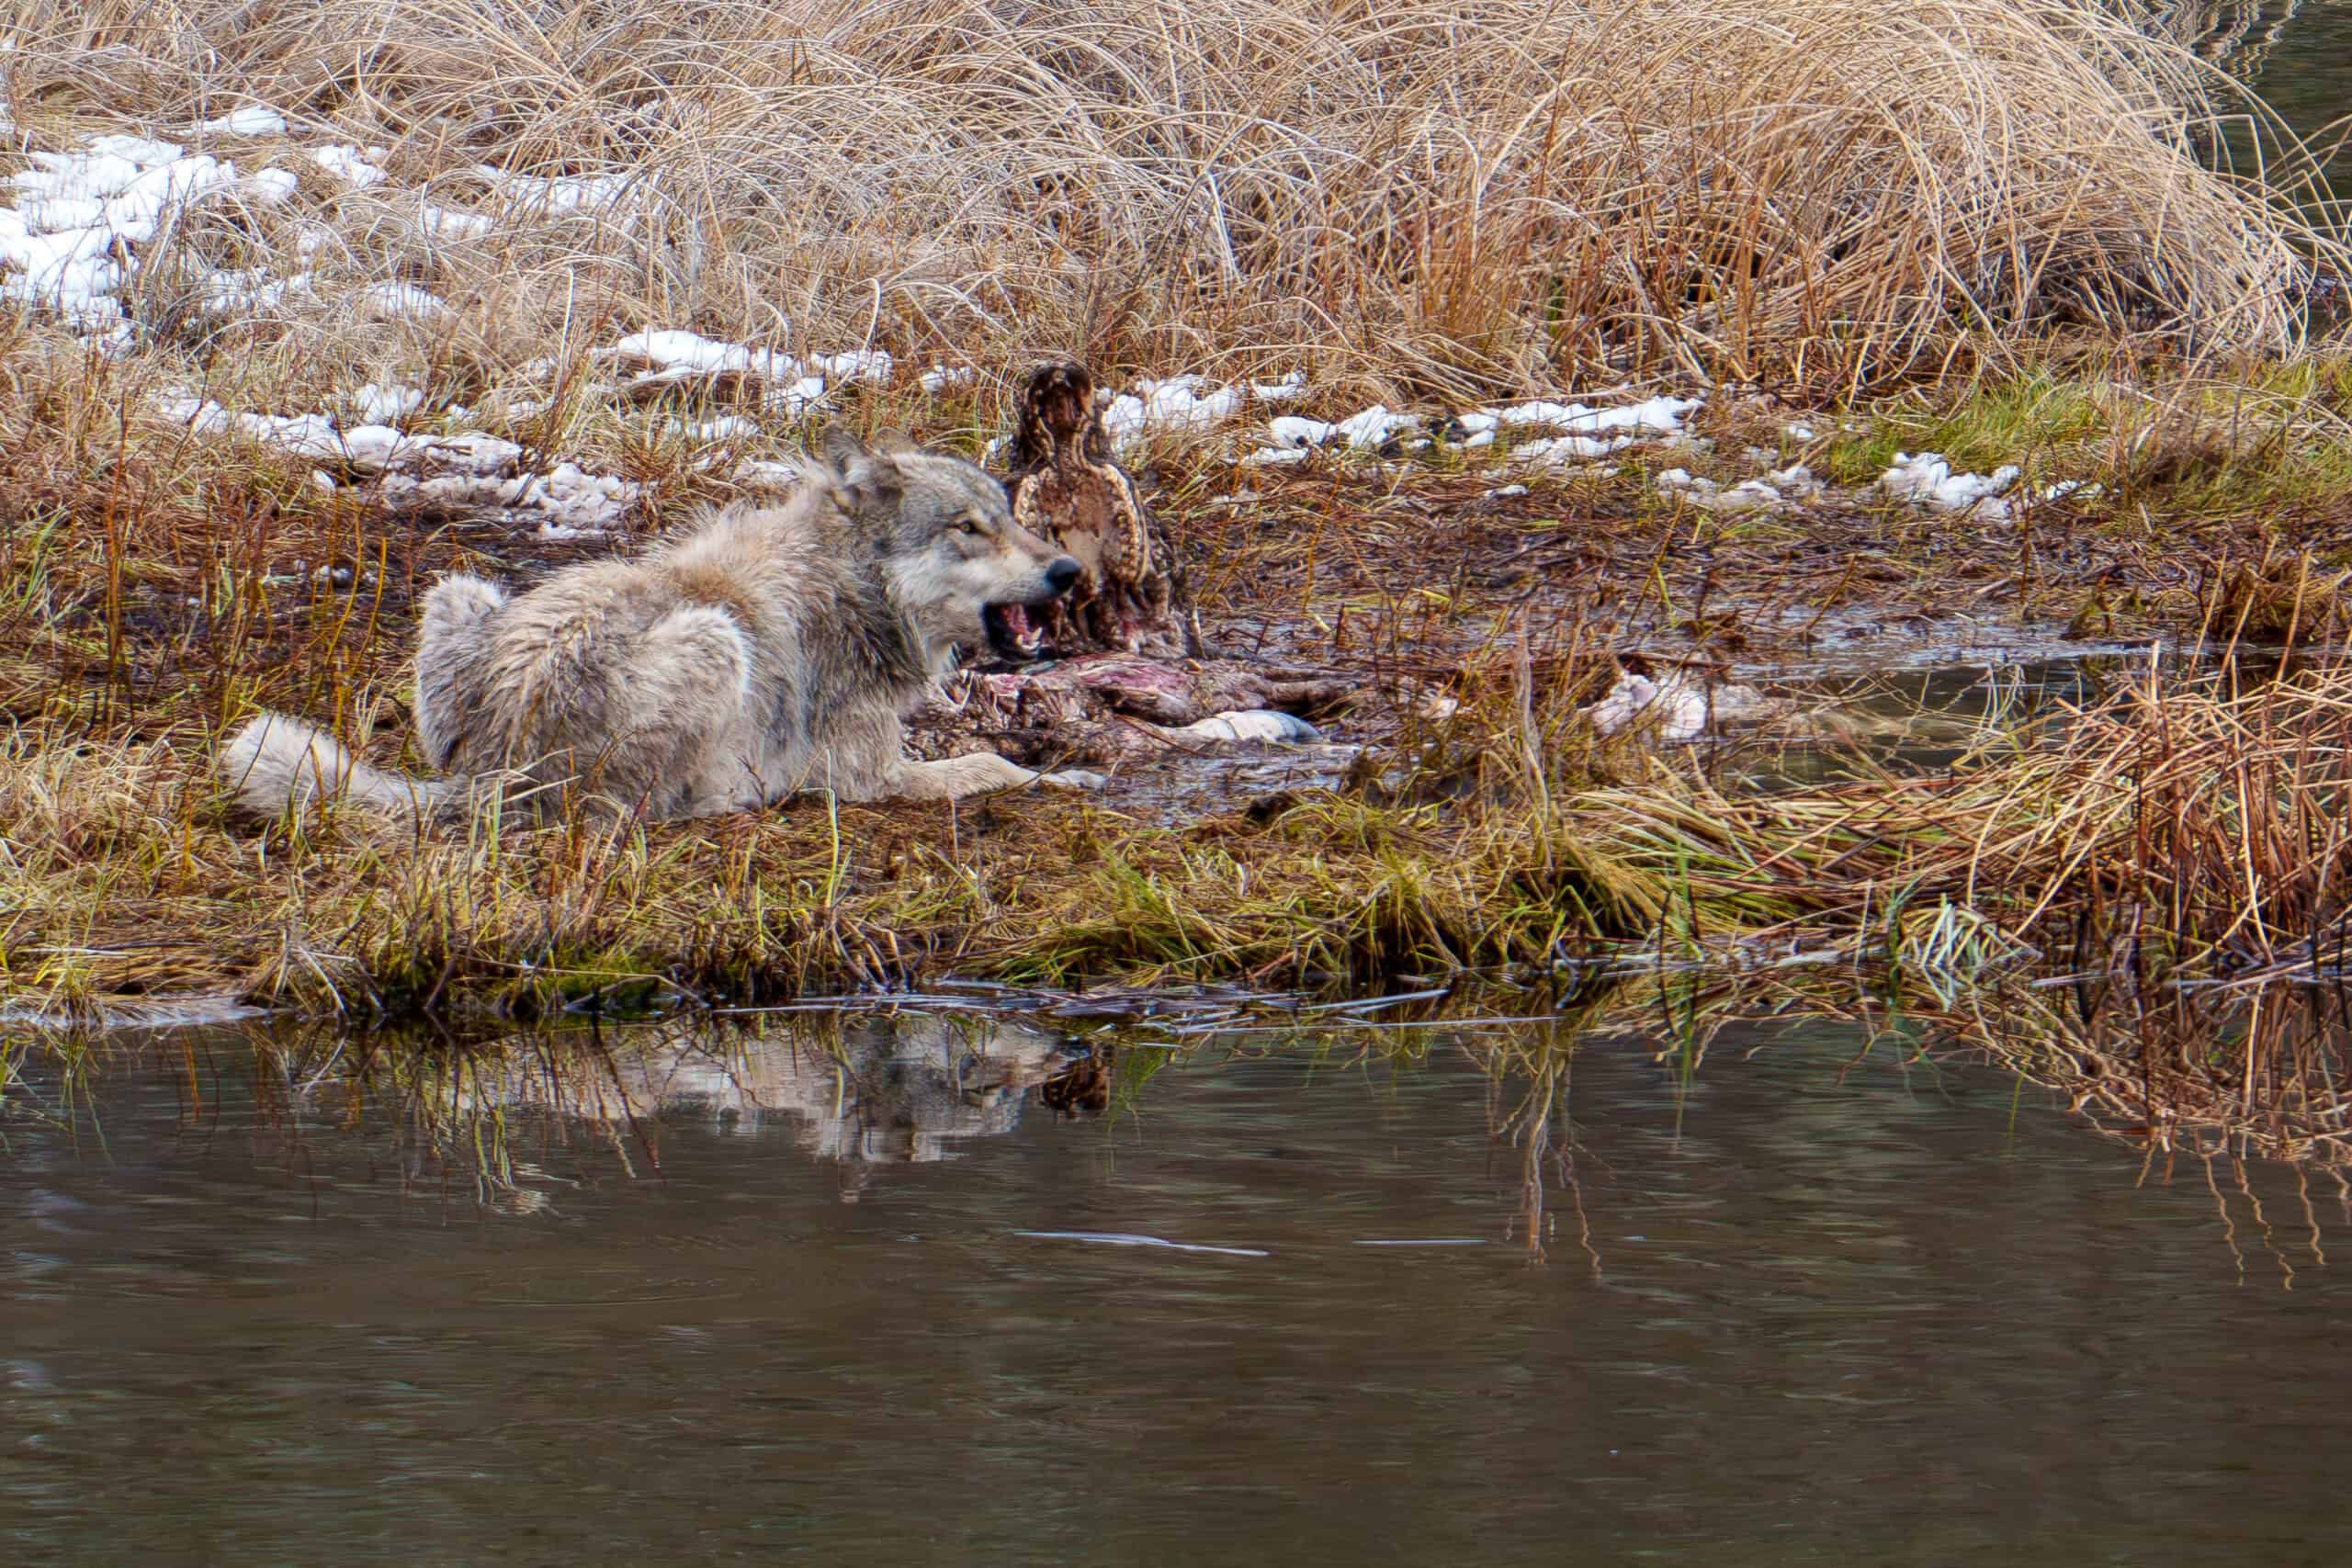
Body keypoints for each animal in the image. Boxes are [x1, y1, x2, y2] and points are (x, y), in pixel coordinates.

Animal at [219, 427, 1107, 824]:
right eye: (968, 529)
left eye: (1009, 517)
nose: (1069, 571)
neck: (856, 586)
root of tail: (493, 770)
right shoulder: (870, 780)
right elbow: (995, 763)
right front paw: (1068, 779)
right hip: (716, 638)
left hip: (462, 590)